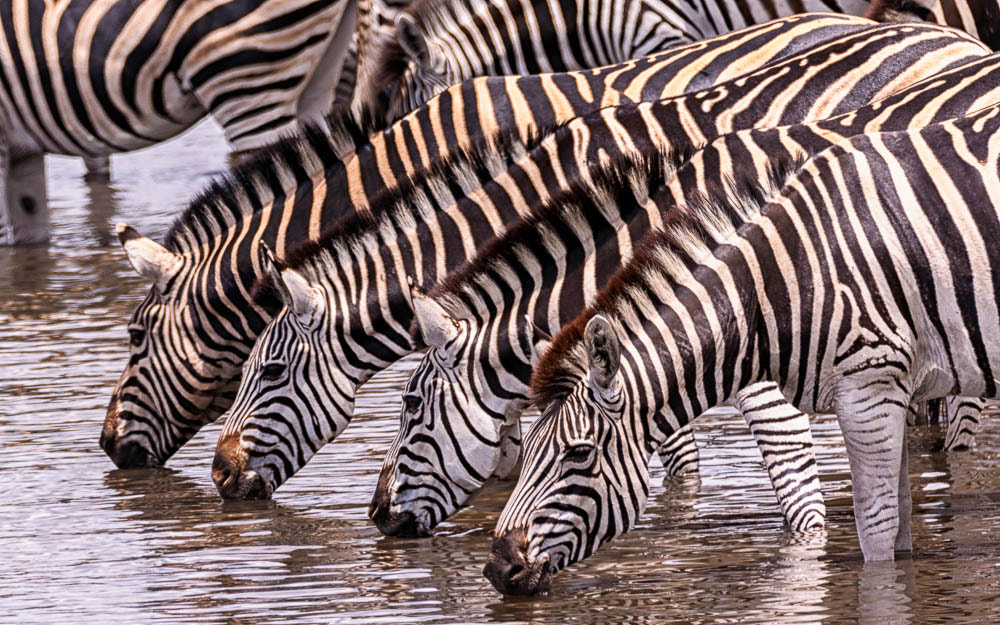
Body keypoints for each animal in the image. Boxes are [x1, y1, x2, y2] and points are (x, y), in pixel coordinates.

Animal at [485, 101, 1000, 595]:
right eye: (525, 447)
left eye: (579, 454)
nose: (496, 568)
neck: (776, 287)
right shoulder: (891, 385)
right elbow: (901, 523)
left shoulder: (869, 383)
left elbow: (875, 526)